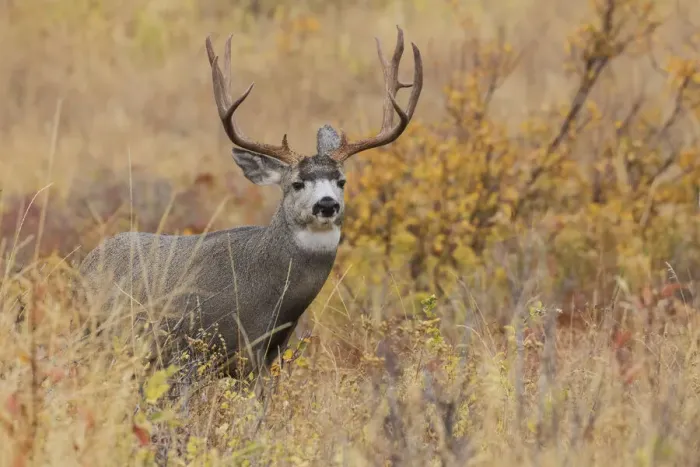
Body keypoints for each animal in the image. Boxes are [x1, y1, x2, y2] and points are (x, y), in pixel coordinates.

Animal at [78, 26, 423, 385]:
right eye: (296, 183)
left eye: (341, 181)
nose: (327, 205)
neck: (265, 299)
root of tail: (89, 258)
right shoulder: (189, 346)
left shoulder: (266, 358)